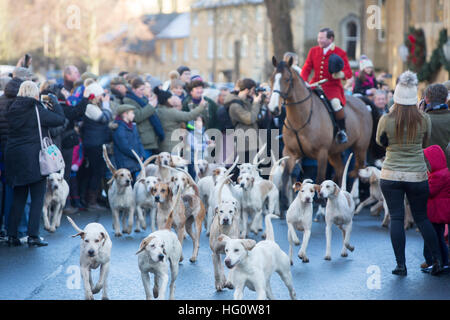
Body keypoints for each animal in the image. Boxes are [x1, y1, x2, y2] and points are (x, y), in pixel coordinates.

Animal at [268, 57, 372, 208]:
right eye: (271, 78)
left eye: (287, 79)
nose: (273, 108)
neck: (301, 118)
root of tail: (361, 101)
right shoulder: (290, 152)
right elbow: (286, 175)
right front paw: (284, 202)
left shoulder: (321, 153)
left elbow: (319, 178)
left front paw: (319, 201)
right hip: (334, 153)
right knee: (341, 170)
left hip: (360, 148)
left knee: (358, 170)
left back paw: (354, 196)